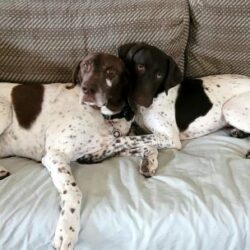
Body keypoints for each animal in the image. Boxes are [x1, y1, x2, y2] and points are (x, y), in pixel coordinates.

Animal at [0, 52, 160, 248]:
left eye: (110, 71)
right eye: (85, 66)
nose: (87, 89)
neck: (106, 117)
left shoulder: (96, 152)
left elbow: (140, 143)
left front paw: (150, 161)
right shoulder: (55, 155)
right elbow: (74, 191)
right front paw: (67, 229)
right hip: (5, 110)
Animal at [117, 43, 250, 167]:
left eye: (160, 75)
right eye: (140, 67)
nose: (142, 100)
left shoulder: (170, 138)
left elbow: (127, 139)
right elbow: (142, 141)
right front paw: (149, 161)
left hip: (229, 108)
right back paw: (239, 132)